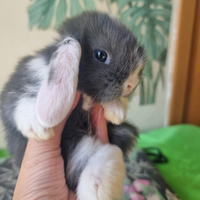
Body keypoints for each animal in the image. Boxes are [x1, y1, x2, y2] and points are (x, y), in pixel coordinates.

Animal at [0, 11, 146, 199]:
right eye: (100, 55)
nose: (132, 83)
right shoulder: (21, 81)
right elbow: (20, 101)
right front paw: (38, 127)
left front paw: (117, 113)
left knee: (105, 160)